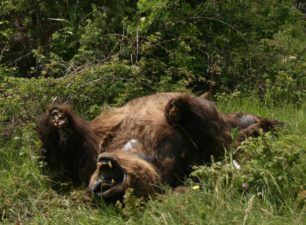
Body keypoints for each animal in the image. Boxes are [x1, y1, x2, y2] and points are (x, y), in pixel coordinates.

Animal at [37, 92, 280, 201]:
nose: (99, 188)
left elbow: (199, 118)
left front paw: (176, 107)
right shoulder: (87, 155)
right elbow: (57, 161)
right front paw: (58, 120)